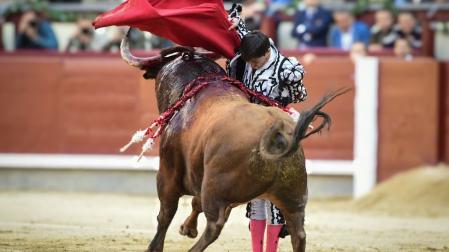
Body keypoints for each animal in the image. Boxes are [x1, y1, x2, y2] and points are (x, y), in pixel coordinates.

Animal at [119, 30, 346, 252]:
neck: (201, 82)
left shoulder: (168, 172)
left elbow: (165, 213)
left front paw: (155, 246)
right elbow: (194, 203)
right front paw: (187, 228)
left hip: (216, 189)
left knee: (214, 225)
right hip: (294, 197)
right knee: (297, 233)